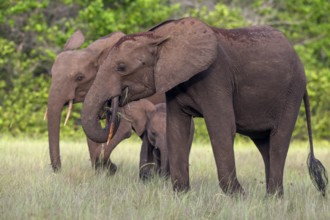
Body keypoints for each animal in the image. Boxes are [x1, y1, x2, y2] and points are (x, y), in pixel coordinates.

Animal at [81, 17, 328, 196]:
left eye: (121, 67)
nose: (109, 111)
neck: (161, 37)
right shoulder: (176, 83)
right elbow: (177, 129)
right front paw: (182, 195)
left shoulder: (215, 76)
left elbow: (221, 127)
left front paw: (238, 197)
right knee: (264, 143)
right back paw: (270, 200)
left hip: (291, 92)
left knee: (278, 139)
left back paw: (273, 198)